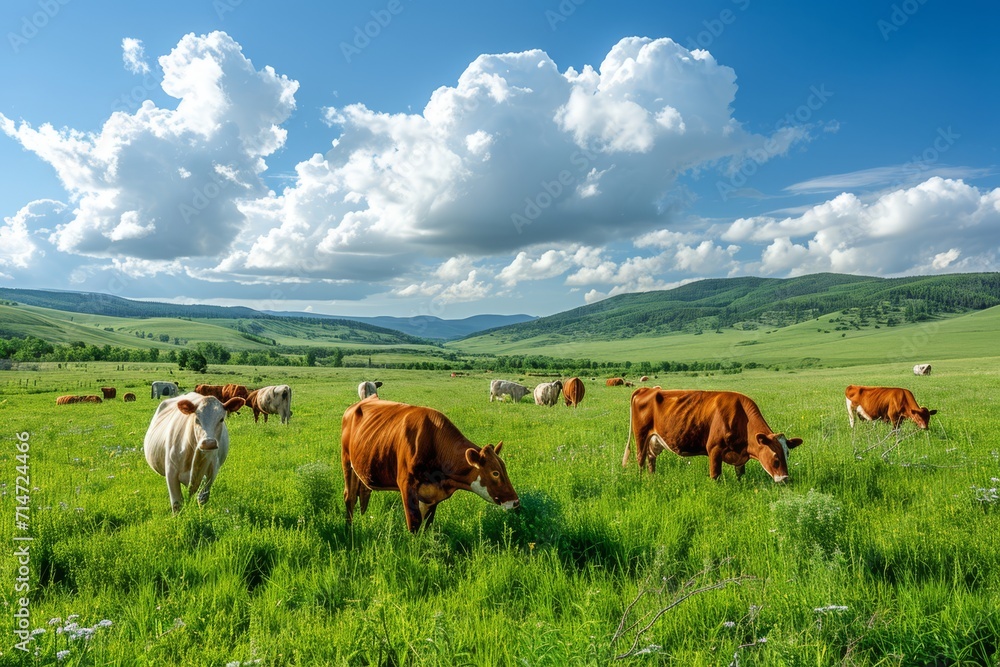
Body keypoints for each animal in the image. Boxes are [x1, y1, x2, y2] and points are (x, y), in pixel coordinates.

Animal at [341, 398, 520, 532]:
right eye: (495, 473)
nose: (516, 502)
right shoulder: (407, 486)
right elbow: (414, 524)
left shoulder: (432, 496)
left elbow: (426, 525)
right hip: (347, 462)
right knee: (350, 497)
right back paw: (349, 530)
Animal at [623, 387, 803, 482]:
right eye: (775, 456)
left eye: (787, 454)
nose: (785, 478)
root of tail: (648, 389)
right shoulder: (714, 449)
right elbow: (715, 475)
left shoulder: (739, 455)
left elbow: (740, 475)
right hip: (641, 436)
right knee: (641, 459)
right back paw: (641, 480)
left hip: (655, 440)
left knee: (651, 459)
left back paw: (652, 479)